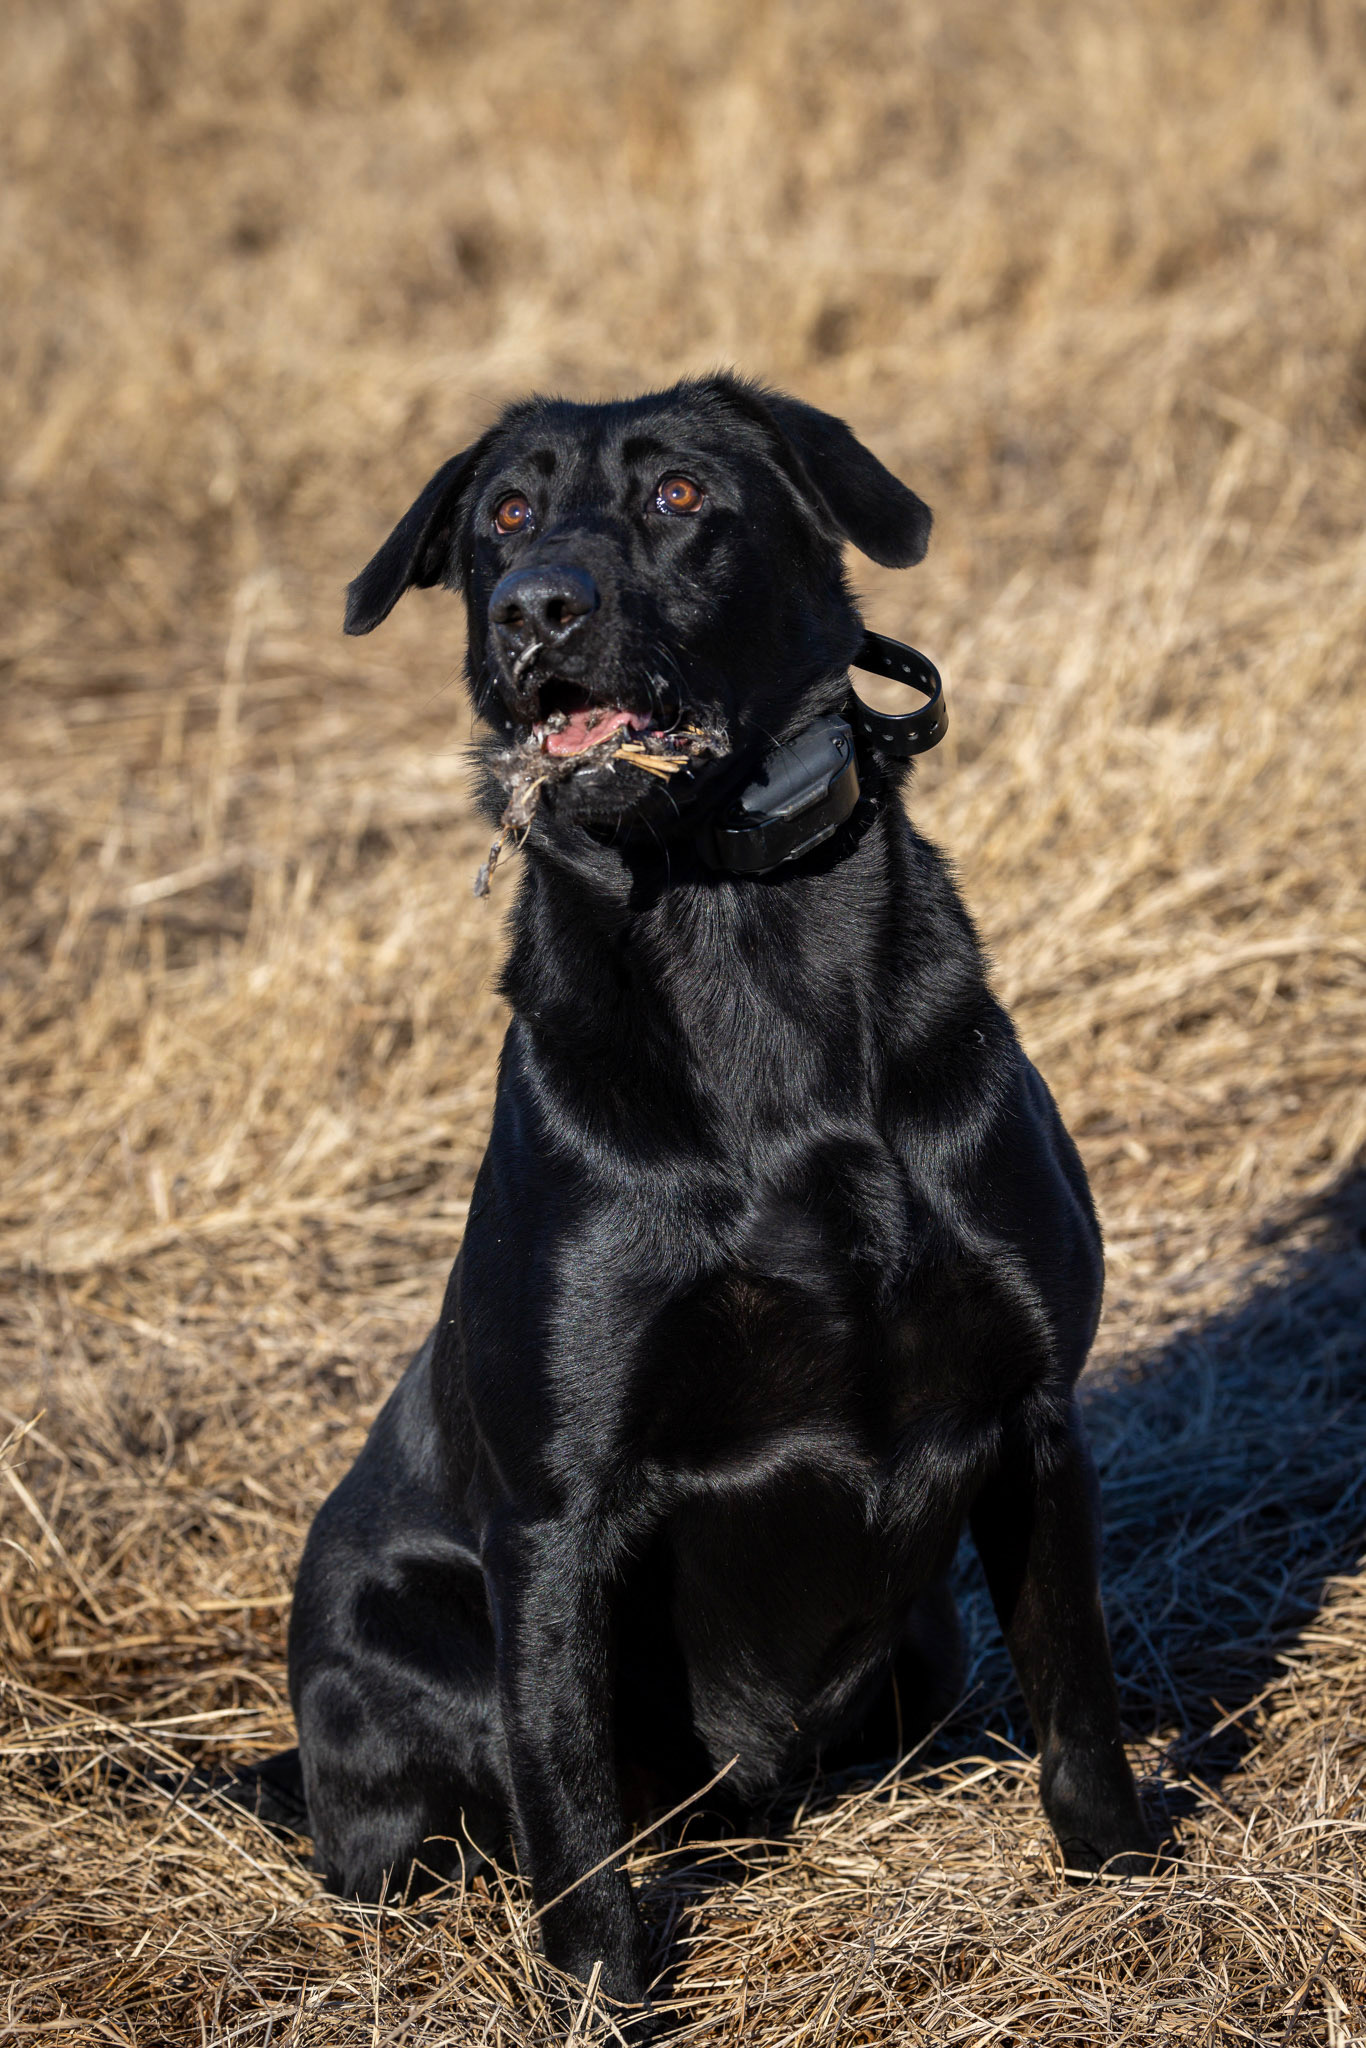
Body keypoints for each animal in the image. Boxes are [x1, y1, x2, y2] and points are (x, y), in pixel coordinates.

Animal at [259, 380, 1155, 2015]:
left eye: (678, 495)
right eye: (500, 515)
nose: (538, 605)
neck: (739, 932)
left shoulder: (1033, 1412)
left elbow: (1080, 1694)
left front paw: (1124, 1888)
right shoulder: (557, 1517)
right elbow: (570, 1811)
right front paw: (603, 2002)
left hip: (922, 1647)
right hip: (408, 1652)